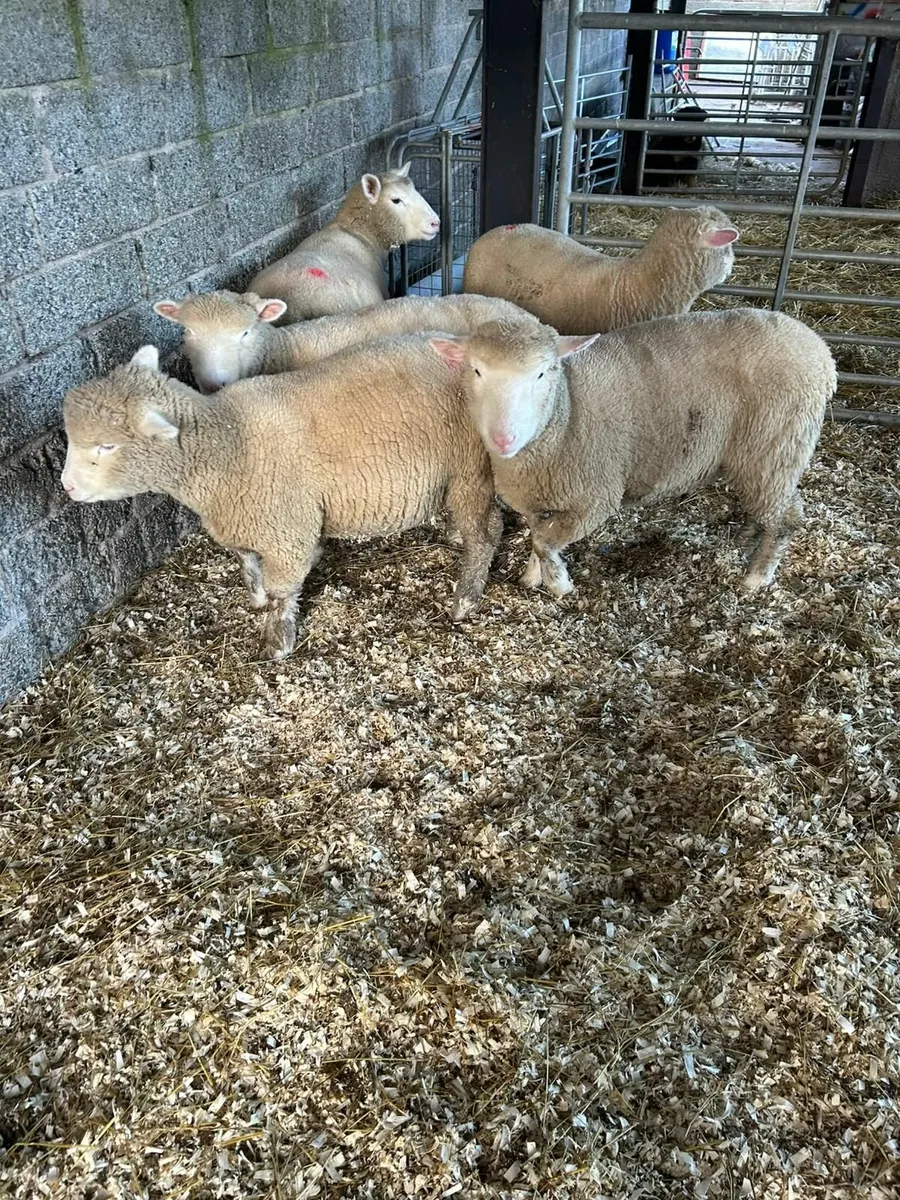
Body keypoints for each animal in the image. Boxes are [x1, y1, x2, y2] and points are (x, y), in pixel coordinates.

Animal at [60, 338, 501, 660]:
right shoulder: (244, 520)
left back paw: (465, 599)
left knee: (487, 532)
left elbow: (282, 591)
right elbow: (248, 565)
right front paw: (255, 597)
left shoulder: (284, 529)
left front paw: (278, 640)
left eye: (107, 446)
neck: (228, 444)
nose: (66, 487)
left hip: (470, 466)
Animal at [429, 308, 835, 597]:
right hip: (759, 457)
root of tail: (820, 350)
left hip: (775, 445)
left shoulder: (595, 499)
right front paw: (534, 575)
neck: (567, 413)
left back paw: (757, 576)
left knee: (787, 517)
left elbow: (545, 542)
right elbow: (538, 536)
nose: (504, 438)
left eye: (543, 374)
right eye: (476, 371)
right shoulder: (539, 498)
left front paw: (559, 583)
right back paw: (749, 536)